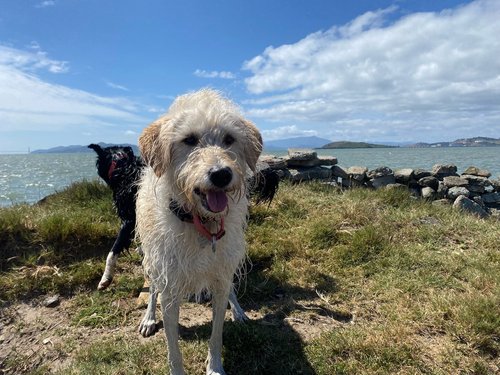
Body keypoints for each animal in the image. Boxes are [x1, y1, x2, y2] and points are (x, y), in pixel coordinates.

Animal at [136, 90, 262, 375]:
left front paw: (214, 367)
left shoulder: (221, 277)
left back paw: (238, 310)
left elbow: (216, 333)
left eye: (229, 139)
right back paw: (149, 317)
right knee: (152, 288)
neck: (201, 222)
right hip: (152, 260)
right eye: (189, 140)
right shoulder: (169, 291)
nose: (221, 174)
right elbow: (173, 349)